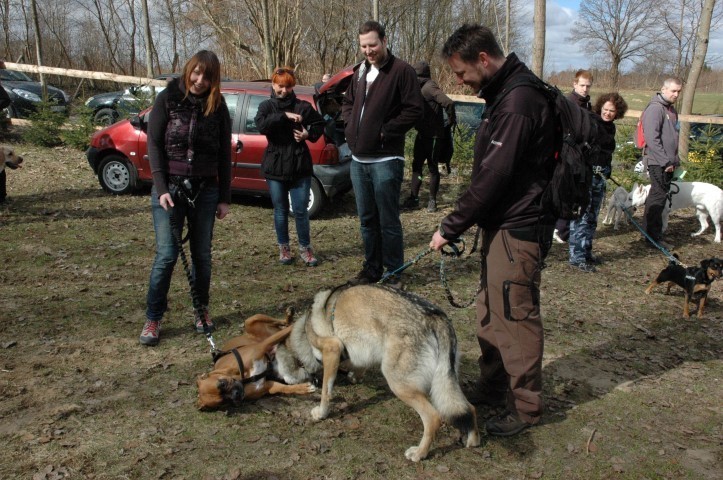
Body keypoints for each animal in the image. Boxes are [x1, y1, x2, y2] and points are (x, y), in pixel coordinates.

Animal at [284, 284, 480, 462]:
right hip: (446, 383)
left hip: (399, 385)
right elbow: (359, 367)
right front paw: (354, 377)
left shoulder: (332, 349)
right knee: (469, 408)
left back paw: (419, 453)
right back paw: (473, 441)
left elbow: (326, 391)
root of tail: (436, 316)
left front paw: (321, 413)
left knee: (433, 418)